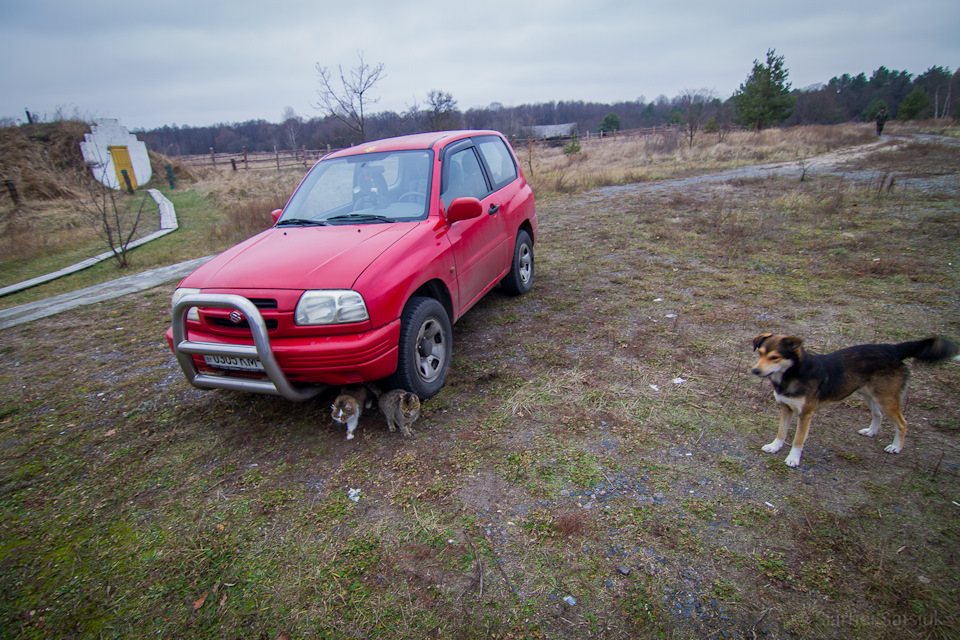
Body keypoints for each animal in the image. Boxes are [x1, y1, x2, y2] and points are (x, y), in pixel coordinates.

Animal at [752, 336, 956, 464]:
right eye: (759, 353)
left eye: (775, 357)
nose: (755, 370)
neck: (792, 373)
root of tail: (893, 348)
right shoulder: (785, 407)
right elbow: (781, 432)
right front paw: (774, 447)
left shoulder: (806, 414)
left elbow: (798, 439)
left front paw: (793, 459)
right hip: (869, 394)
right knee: (878, 414)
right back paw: (871, 431)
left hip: (886, 399)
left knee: (902, 423)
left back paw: (896, 447)